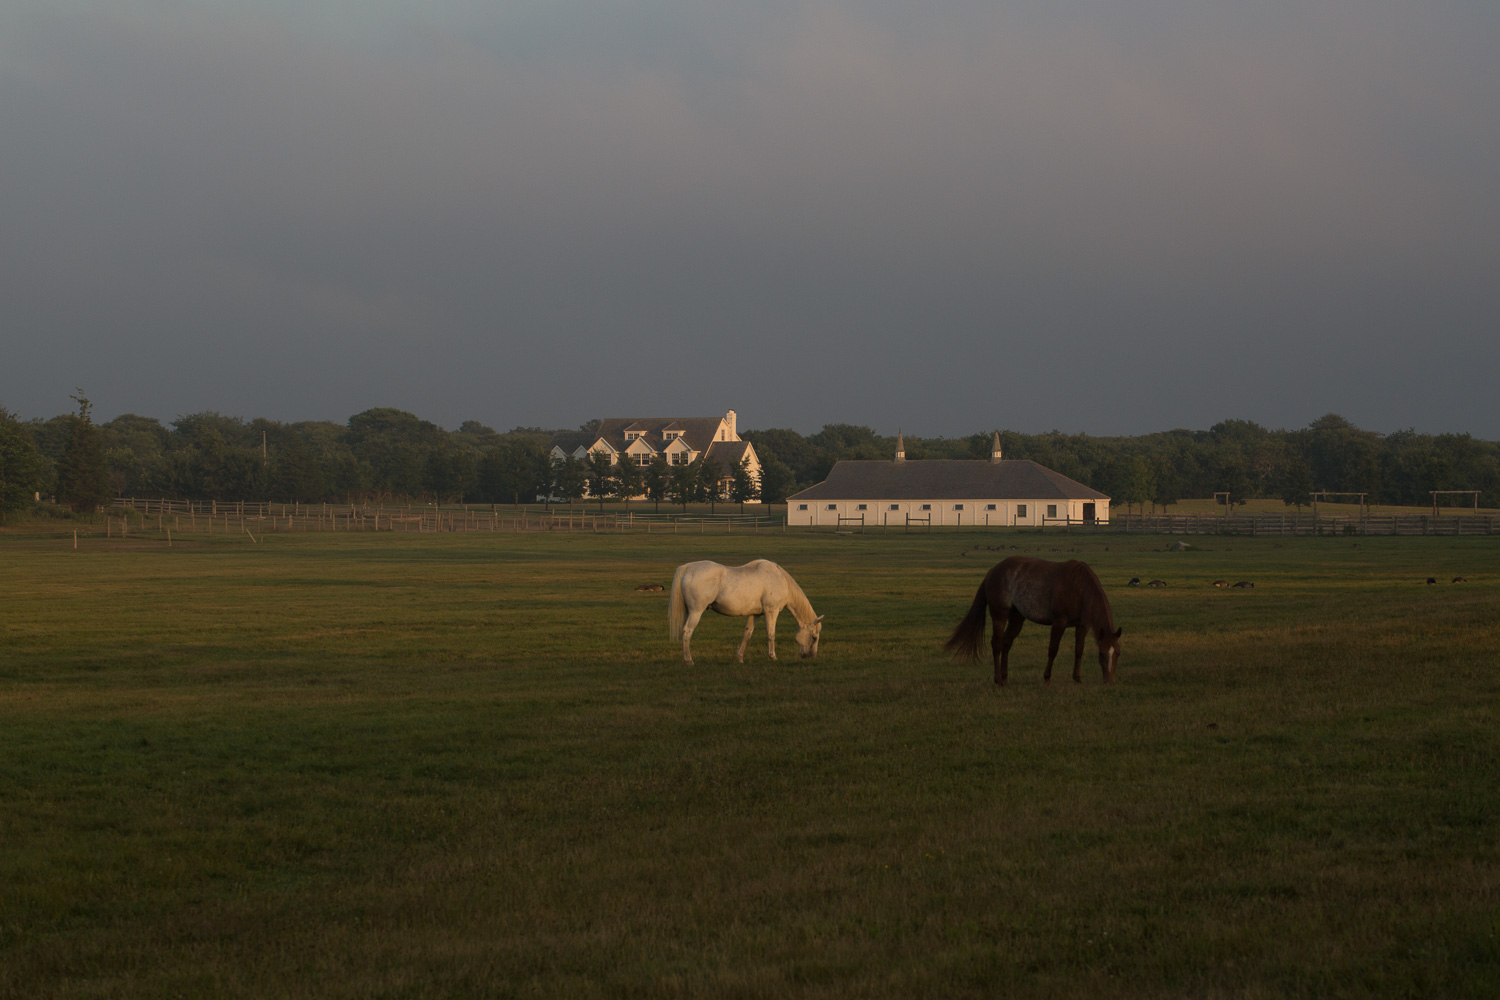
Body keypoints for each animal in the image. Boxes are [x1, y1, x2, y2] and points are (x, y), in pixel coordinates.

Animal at [672, 560, 828, 668]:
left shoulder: (755, 614)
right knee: (687, 632)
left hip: (689, 612)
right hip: (696, 612)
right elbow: (771, 634)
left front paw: (740, 658)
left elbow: (747, 634)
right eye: (814, 637)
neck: (779, 579)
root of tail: (688, 568)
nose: (811, 657)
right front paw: (773, 657)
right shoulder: (771, 611)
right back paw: (689, 660)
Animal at [942, 554, 1122, 689]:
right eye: (1101, 654)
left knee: (1006, 643)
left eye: (1118, 653)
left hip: (1017, 617)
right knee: (997, 644)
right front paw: (1047, 678)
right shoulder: (1059, 622)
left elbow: (1079, 650)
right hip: (999, 616)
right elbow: (1053, 649)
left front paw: (1077, 678)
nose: (1109, 681)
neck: (1079, 587)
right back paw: (998, 679)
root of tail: (992, 571)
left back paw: (1005, 679)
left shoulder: (1083, 625)